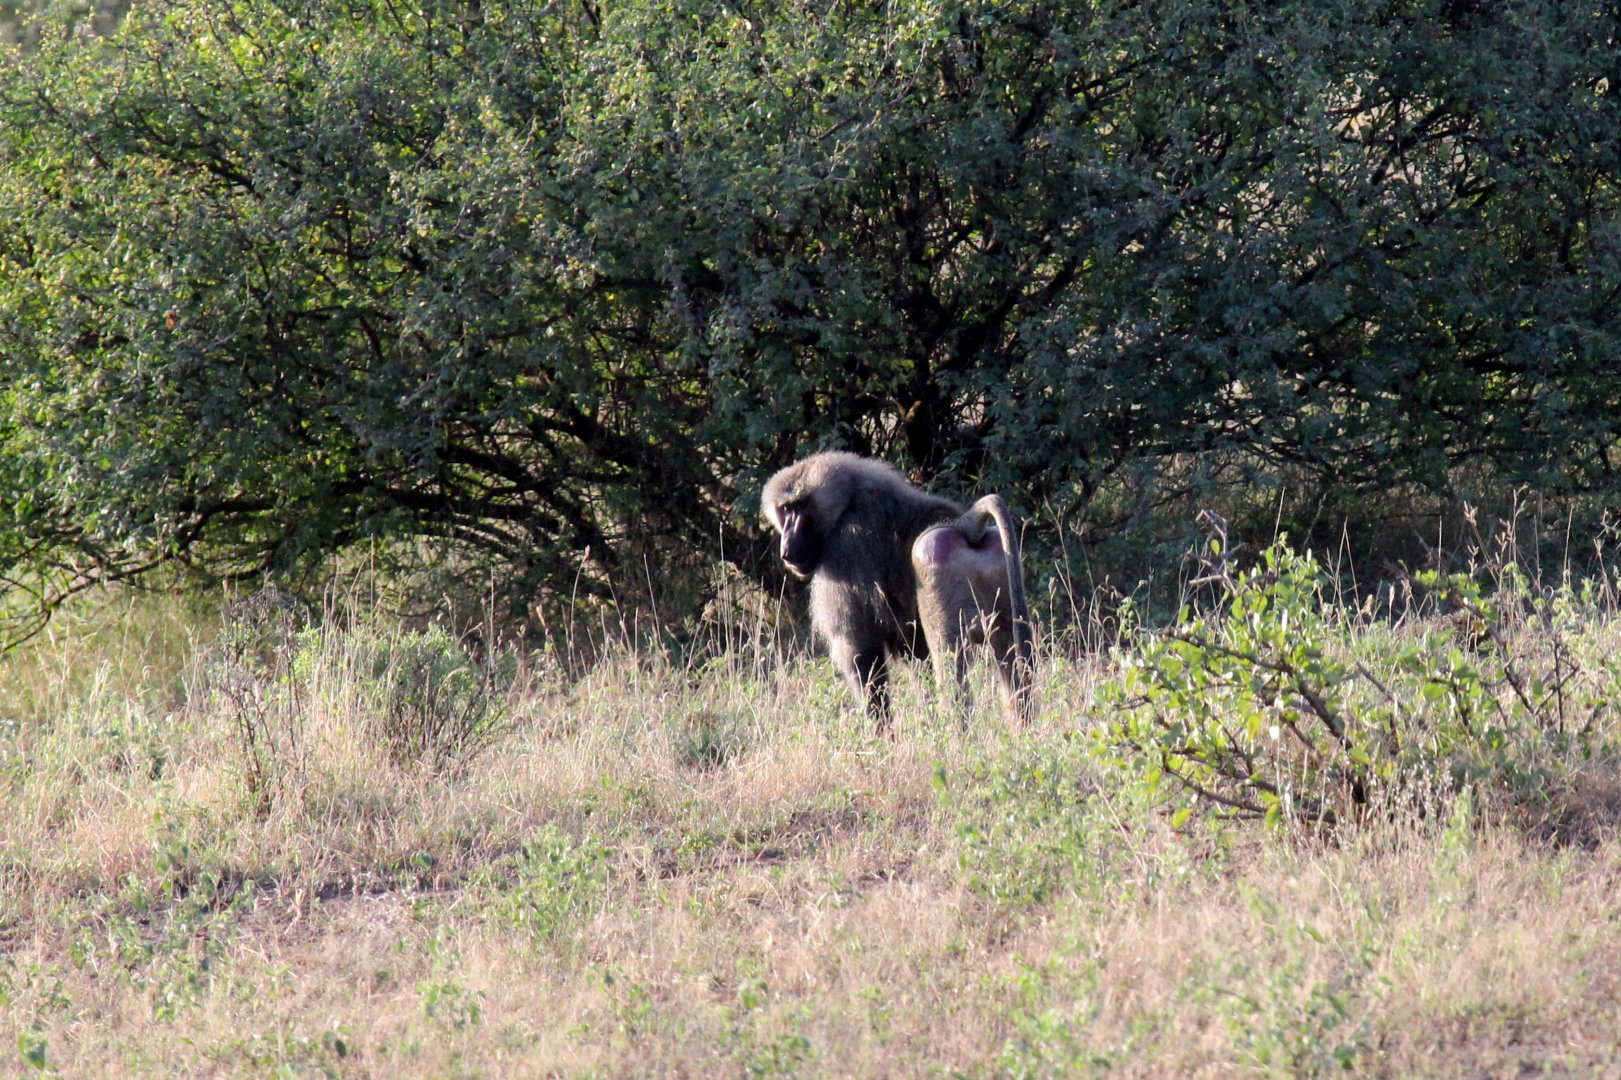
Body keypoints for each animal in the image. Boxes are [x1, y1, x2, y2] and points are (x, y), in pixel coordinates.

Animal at [761, 451, 1034, 727]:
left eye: (799, 507)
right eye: (785, 510)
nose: (787, 549)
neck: (848, 501)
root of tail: (965, 526)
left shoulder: (844, 551)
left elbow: (861, 653)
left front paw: (881, 734)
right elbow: (916, 660)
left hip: (935, 566)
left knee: (948, 663)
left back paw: (956, 732)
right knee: (1013, 658)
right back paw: (1022, 729)